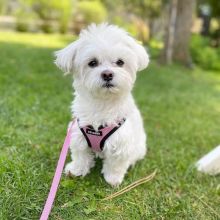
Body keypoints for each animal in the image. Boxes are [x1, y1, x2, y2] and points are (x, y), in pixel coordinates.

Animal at [55, 23, 150, 186]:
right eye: (92, 63)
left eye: (120, 62)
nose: (107, 74)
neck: (102, 103)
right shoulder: (77, 135)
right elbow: (80, 155)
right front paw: (76, 170)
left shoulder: (121, 142)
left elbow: (116, 164)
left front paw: (113, 179)